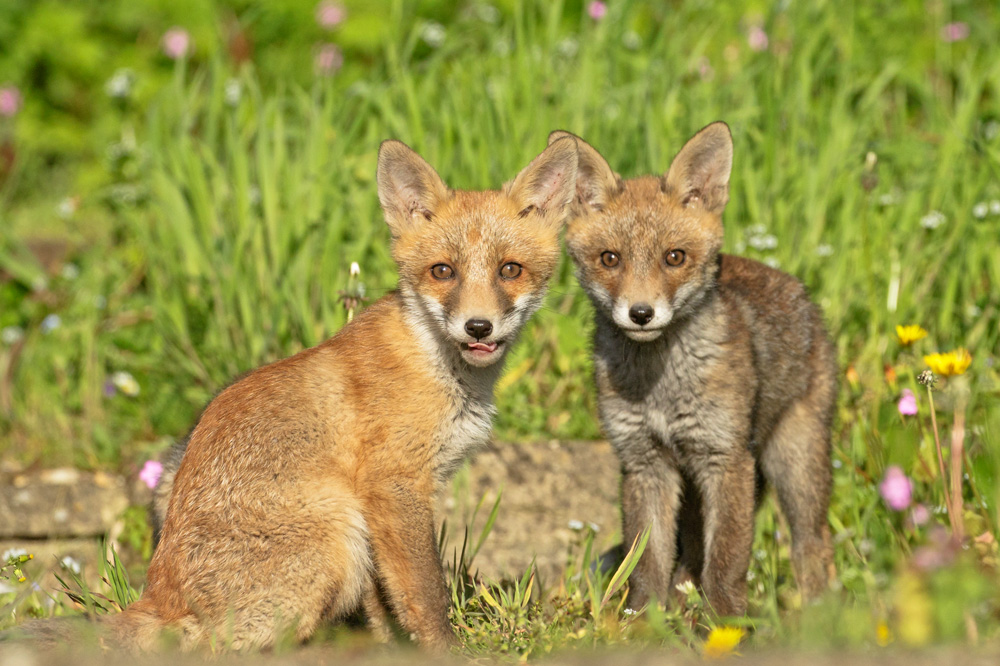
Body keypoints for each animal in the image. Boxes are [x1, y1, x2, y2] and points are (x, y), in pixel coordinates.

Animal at [49, 138, 578, 651]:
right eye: (442, 271)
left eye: (510, 270)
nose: (478, 326)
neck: (437, 366)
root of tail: (158, 595)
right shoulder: (393, 485)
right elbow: (426, 593)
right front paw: (445, 651)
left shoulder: (380, 506)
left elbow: (385, 602)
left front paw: (392, 646)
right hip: (337, 534)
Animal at [552, 123, 836, 617]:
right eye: (610, 259)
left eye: (674, 257)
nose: (640, 314)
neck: (661, 387)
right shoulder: (644, 461)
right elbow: (647, 561)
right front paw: (642, 620)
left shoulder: (726, 458)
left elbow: (725, 563)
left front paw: (726, 624)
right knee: (688, 557)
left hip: (795, 464)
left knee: (812, 545)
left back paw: (818, 617)